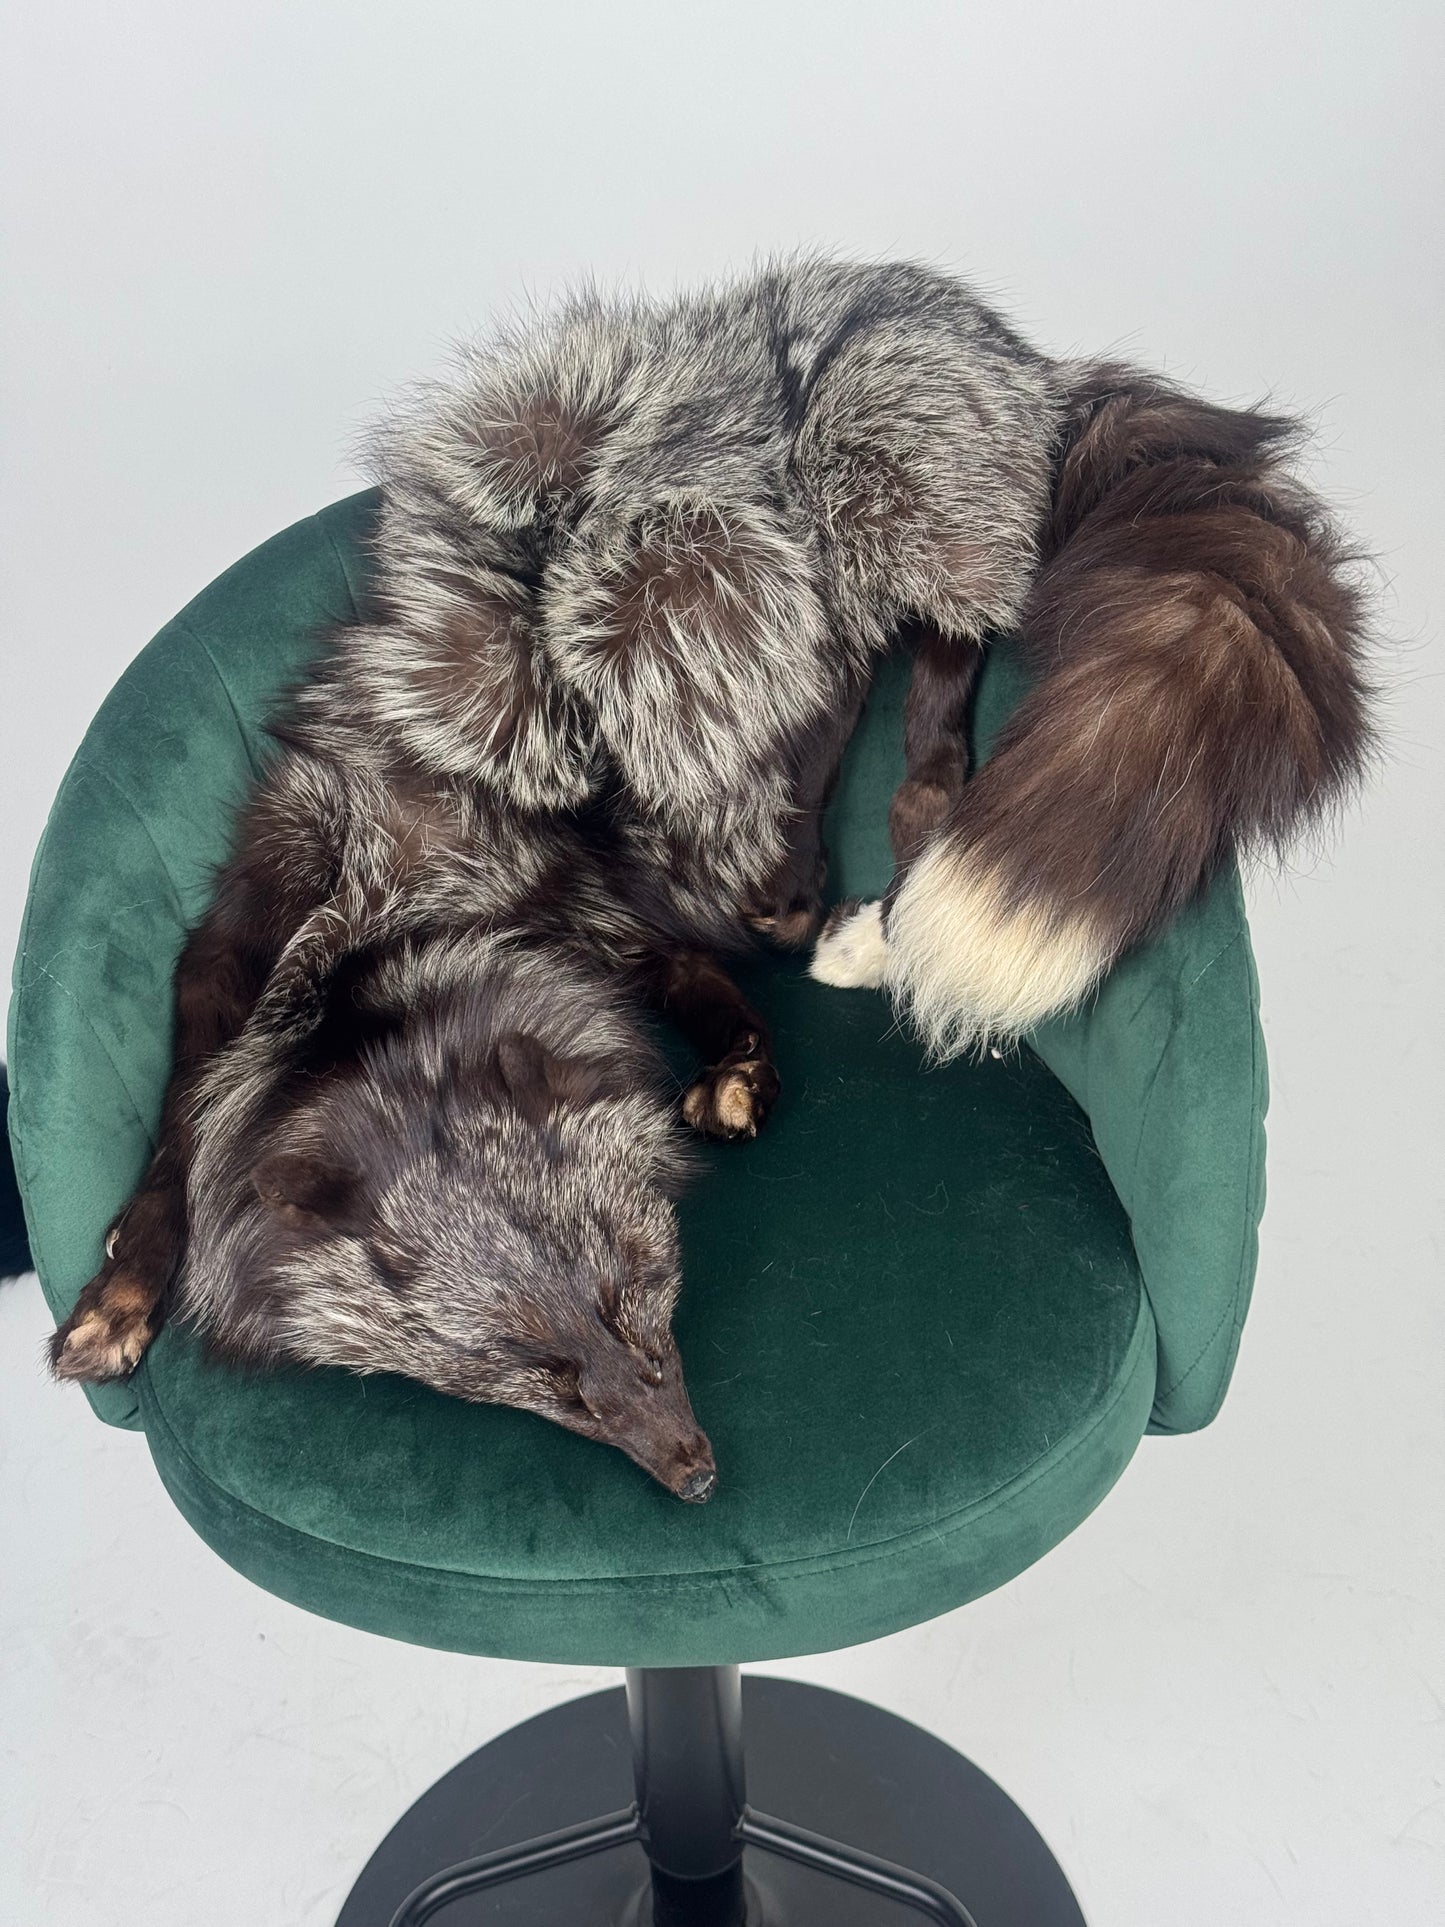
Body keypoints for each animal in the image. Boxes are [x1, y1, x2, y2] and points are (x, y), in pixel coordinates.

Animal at [49, 255, 1373, 1492]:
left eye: (627, 1295)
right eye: (539, 1373)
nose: (690, 1468)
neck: (402, 929)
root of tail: (1018, 355)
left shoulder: (586, 917)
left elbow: (718, 999)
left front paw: (741, 1072)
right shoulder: (260, 934)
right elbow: (179, 1131)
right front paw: (127, 1287)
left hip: (828, 495)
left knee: (940, 632)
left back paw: (906, 806)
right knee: (840, 676)